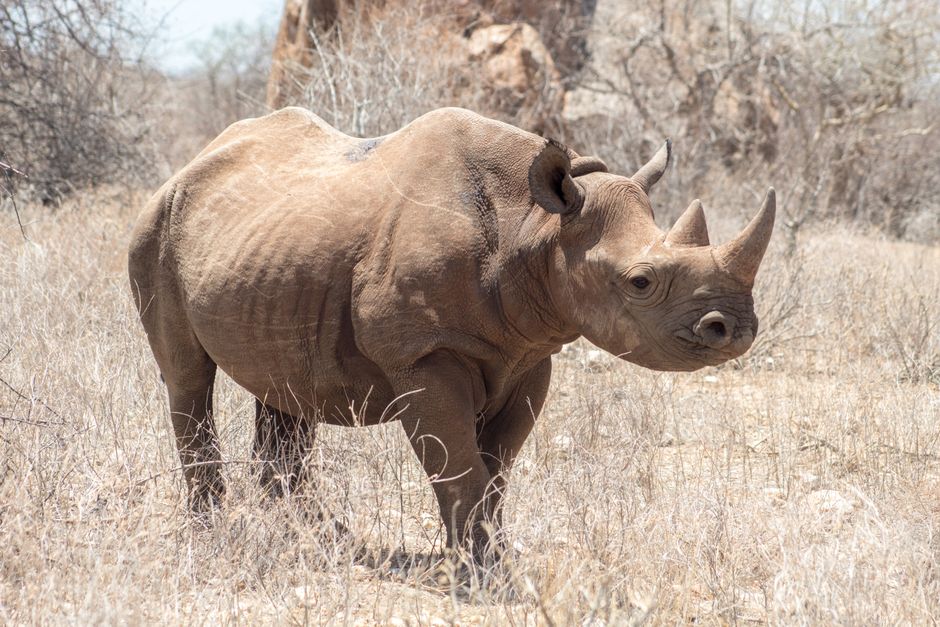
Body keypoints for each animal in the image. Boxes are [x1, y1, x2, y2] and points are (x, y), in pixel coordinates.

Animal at [128, 107, 774, 559]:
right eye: (641, 282)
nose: (737, 330)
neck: (535, 228)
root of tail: (190, 164)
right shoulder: (422, 355)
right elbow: (460, 464)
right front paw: (483, 571)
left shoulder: (529, 354)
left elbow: (496, 467)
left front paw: (487, 554)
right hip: (155, 230)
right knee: (186, 377)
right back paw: (213, 532)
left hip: (271, 253)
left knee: (284, 387)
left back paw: (318, 537)